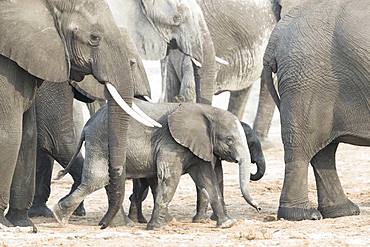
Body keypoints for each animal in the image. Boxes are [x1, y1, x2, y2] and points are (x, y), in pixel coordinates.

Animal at [53, 99, 262, 230]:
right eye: (229, 140)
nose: (259, 208)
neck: (206, 110)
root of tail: (87, 124)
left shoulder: (198, 146)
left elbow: (207, 179)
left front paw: (227, 224)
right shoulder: (172, 144)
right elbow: (170, 177)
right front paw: (155, 228)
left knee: (107, 181)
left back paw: (119, 224)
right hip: (100, 141)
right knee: (97, 179)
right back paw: (60, 216)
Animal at [264, 0, 370, 220]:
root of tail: (274, 38)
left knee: (324, 150)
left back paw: (342, 211)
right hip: (306, 82)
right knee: (303, 145)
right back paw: (303, 214)